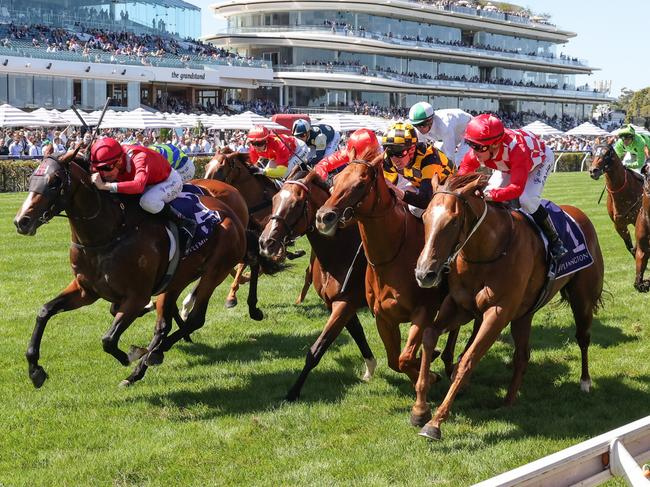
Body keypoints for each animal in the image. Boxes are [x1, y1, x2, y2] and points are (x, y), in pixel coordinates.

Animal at [15, 152, 248, 388]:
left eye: (55, 181)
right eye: (32, 177)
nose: (21, 221)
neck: (110, 234)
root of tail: (232, 213)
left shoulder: (136, 296)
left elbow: (108, 339)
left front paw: (130, 355)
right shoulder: (85, 290)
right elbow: (45, 311)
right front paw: (35, 370)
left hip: (215, 272)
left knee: (195, 319)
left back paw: (152, 356)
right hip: (177, 279)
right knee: (164, 325)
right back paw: (144, 364)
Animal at [256, 171, 374, 400]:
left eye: (296, 203)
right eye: (274, 200)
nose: (266, 243)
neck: (341, 251)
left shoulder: (345, 304)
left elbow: (317, 349)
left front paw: (293, 392)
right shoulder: (336, 303)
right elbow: (358, 333)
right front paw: (370, 367)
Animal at [314, 156, 456, 412]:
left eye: (360, 185)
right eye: (335, 180)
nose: (323, 217)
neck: (394, 255)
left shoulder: (423, 311)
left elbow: (404, 358)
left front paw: (429, 375)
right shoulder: (383, 318)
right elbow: (394, 361)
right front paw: (427, 371)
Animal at [410, 173, 604, 440]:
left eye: (453, 221)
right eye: (425, 217)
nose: (424, 274)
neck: (488, 252)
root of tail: (579, 214)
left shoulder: (497, 314)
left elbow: (467, 360)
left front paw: (435, 422)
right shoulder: (461, 307)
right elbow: (429, 336)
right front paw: (419, 409)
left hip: (582, 299)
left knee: (583, 338)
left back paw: (585, 382)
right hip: (524, 314)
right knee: (522, 355)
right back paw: (509, 400)